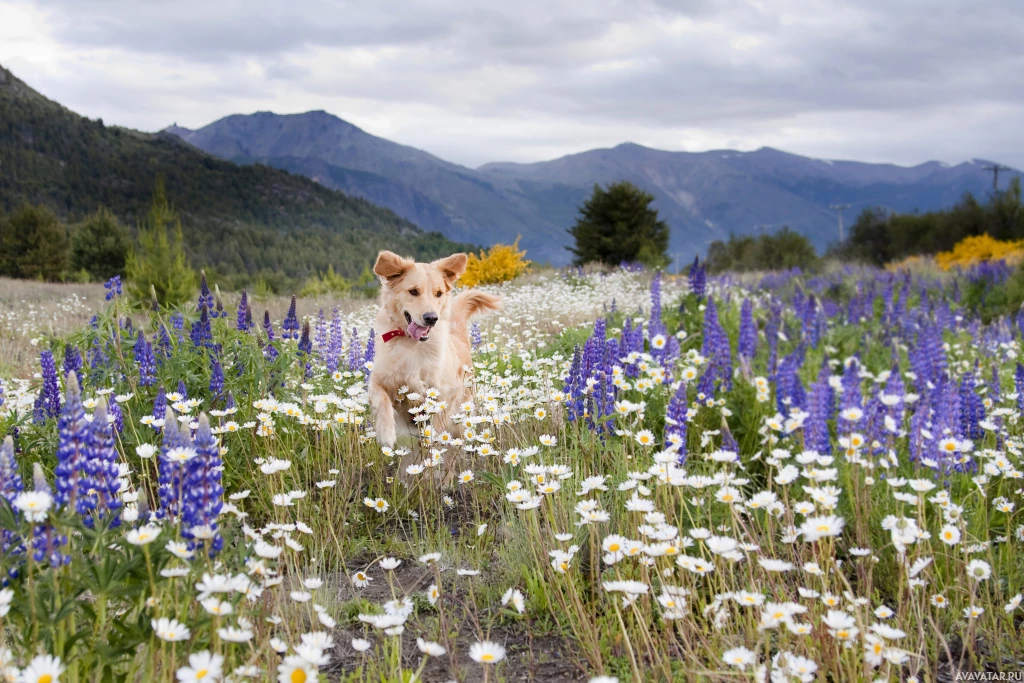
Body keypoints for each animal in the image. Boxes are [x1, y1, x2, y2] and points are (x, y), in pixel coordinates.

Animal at [370, 250, 501, 471]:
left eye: (439, 293)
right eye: (413, 291)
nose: (431, 318)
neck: (412, 344)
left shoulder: (443, 394)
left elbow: (437, 429)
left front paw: (433, 453)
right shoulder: (379, 380)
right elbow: (381, 400)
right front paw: (386, 433)